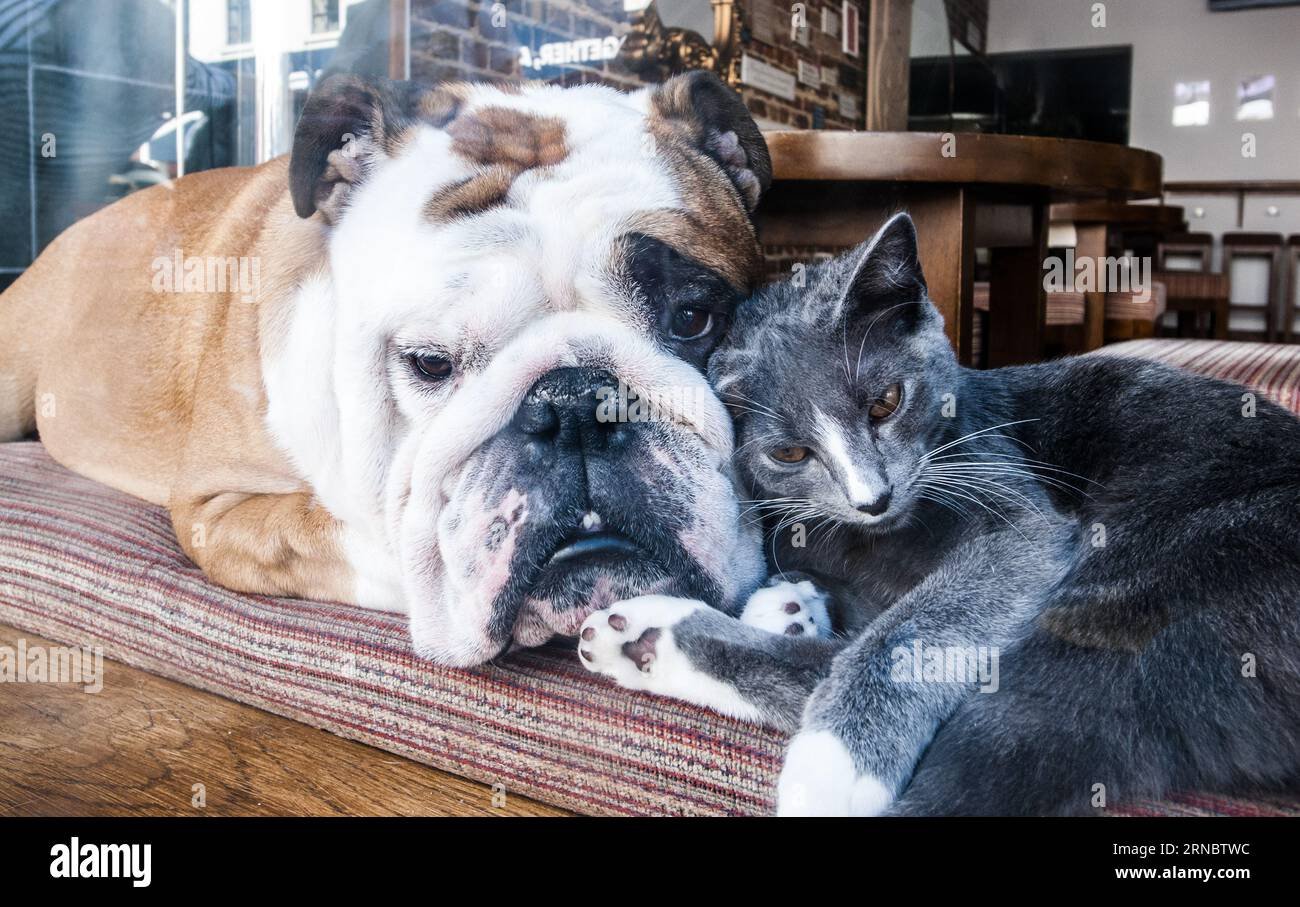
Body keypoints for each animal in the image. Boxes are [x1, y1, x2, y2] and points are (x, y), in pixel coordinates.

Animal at [577, 210, 1300, 810]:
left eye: (886, 402)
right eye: (788, 452)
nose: (873, 497)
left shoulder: (1017, 513)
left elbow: (913, 628)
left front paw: (833, 743)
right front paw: (792, 600)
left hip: (1164, 565)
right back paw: (641, 639)